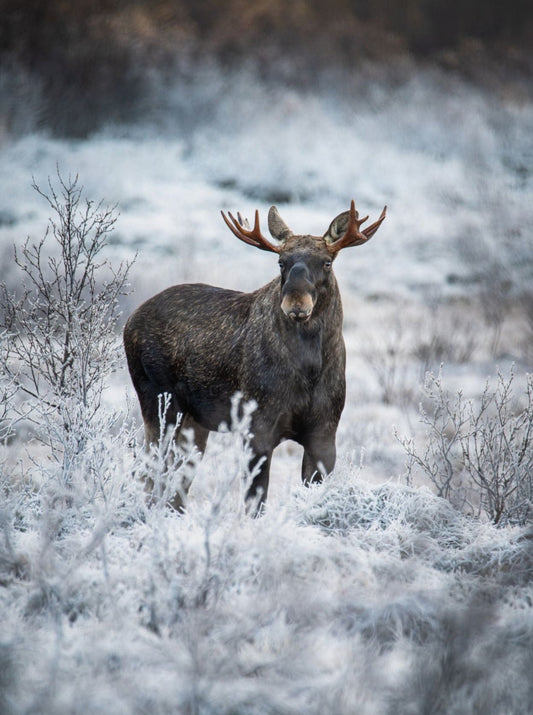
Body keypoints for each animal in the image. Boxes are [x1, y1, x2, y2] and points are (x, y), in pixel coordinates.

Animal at [123, 200, 386, 514]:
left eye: (327, 262)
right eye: (281, 262)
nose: (296, 304)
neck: (310, 369)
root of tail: (129, 322)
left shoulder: (325, 433)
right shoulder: (257, 428)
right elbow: (255, 504)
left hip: (194, 421)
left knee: (175, 483)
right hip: (158, 401)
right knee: (147, 471)